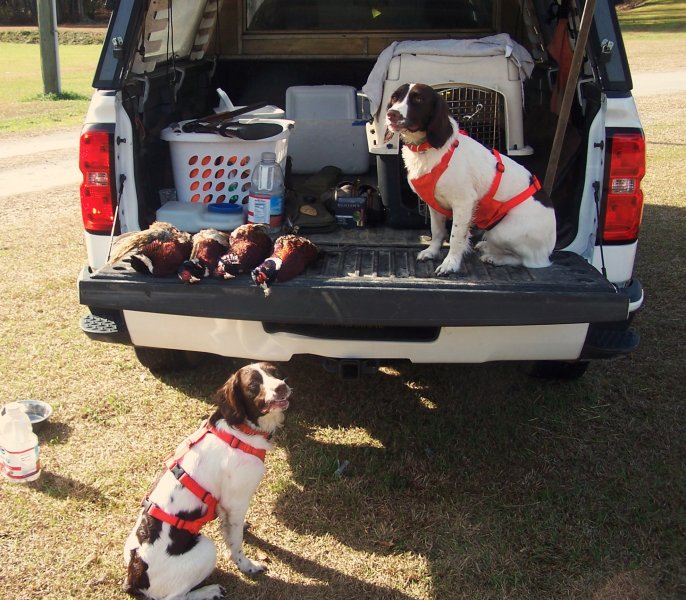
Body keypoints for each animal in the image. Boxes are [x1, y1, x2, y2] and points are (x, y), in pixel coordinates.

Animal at [384, 82, 556, 276]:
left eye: (418, 99)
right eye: (394, 97)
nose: (391, 114)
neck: (426, 149)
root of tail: (550, 248)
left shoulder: (464, 204)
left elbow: (455, 237)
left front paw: (450, 263)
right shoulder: (433, 204)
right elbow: (437, 231)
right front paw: (432, 252)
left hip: (502, 231)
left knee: (528, 261)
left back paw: (494, 257)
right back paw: (487, 247)